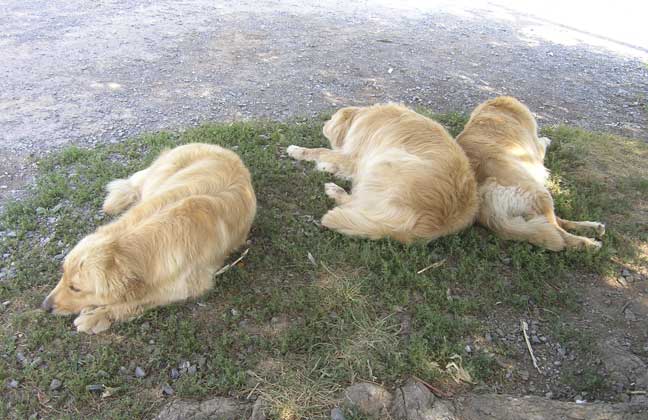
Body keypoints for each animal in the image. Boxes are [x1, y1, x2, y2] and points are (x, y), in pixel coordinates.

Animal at [40, 143, 256, 334]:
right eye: (63, 274)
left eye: (75, 288)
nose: (45, 306)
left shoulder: (188, 284)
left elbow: (145, 298)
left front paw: (97, 316)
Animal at [286, 102, 478, 244]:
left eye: (331, 119)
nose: (324, 124)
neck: (362, 116)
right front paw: (327, 166)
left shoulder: (354, 157)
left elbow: (320, 151)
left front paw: (297, 150)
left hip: (384, 161)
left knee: (355, 202)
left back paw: (335, 191)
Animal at [456, 97, 604, 251]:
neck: (497, 107)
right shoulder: (537, 149)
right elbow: (541, 142)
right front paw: (547, 139)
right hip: (541, 194)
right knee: (560, 232)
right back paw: (588, 243)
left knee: (558, 222)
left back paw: (592, 228)